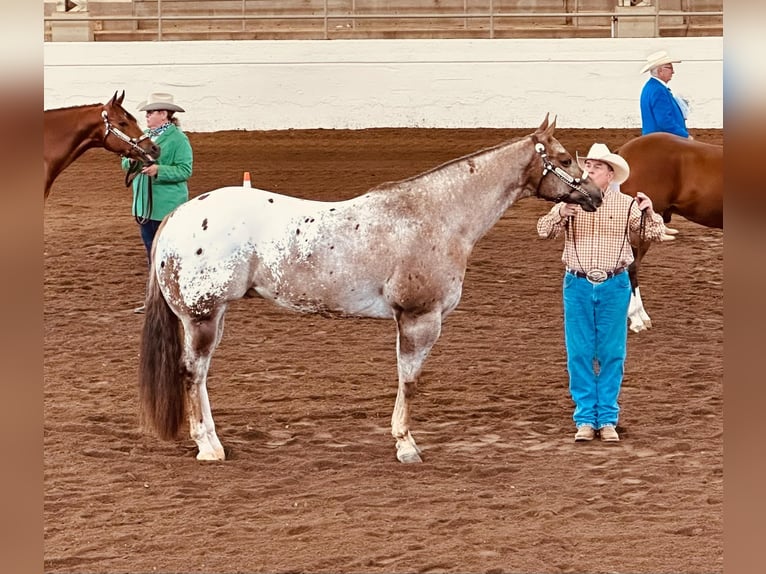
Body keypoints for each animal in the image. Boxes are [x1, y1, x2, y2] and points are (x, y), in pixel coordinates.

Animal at [136, 115, 608, 466]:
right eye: (564, 158)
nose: (597, 196)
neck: (435, 216)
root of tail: (180, 214)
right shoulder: (419, 318)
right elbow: (410, 380)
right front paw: (406, 445)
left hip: (209, 317)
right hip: (201, 317)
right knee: (192, 374)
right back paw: (208, 447)